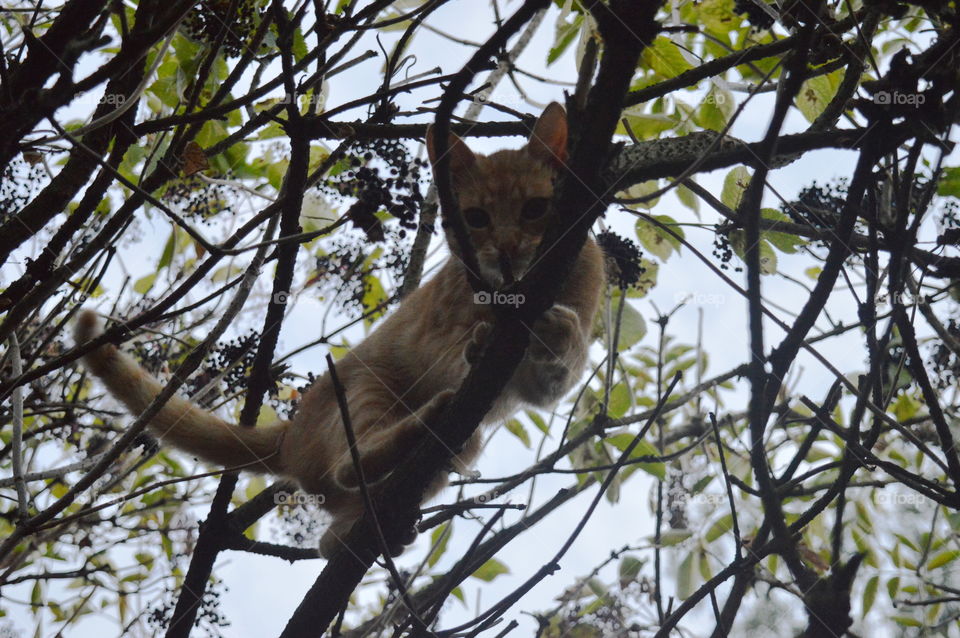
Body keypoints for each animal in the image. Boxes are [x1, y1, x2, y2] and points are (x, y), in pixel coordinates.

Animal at [75, 101, 604, 560]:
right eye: (476, 218)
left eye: (535, 209)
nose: (508, 249)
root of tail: (289, 434)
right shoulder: (440, 331)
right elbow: (464, 344)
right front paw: (485, 339)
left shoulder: (541, 381)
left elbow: (562, 364)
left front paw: (556, 331)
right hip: (365, 392)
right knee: (351, 464)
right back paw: (429, 420)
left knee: (335, 527)